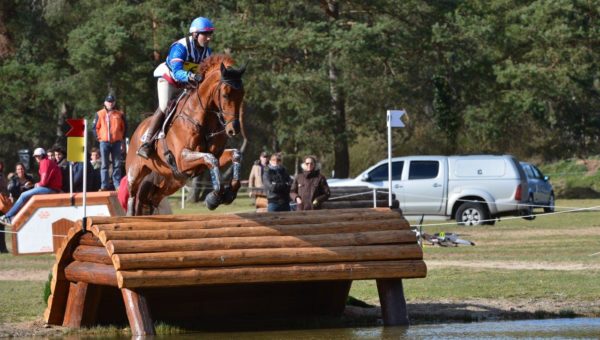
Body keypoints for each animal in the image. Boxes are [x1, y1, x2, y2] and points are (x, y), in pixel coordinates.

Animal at [124, 55, 246, 215]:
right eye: (225, 95)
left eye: (242, 95)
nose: (234, 129)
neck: (203, 120)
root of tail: (138, 131)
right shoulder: (182, 158)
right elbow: (211, 159)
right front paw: (214, 198)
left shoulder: (213, 155)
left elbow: (235, 154)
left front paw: (229, 193)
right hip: (135, 172)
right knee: (132, 195)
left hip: (171, 180)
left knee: (151, 198)